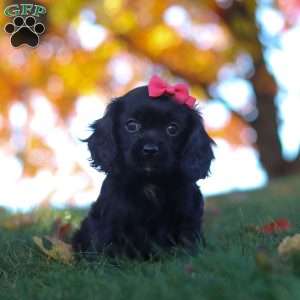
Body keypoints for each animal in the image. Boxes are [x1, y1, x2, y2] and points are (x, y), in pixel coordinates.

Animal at [72, 81, 213, 258]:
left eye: (172, 129)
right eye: (131, 125)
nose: (150, 150)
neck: (149, 182)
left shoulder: (188, 220)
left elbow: (187, 246)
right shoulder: (110, 220)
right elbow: (106, 248)